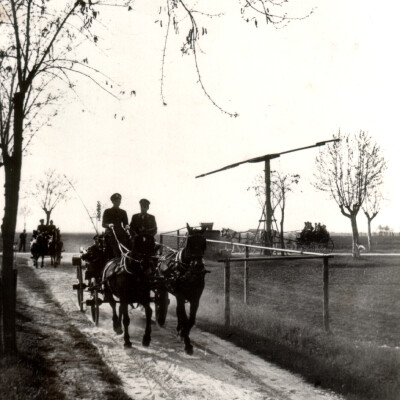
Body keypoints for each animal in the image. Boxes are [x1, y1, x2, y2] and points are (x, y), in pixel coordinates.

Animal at [159, 223, 209, 354]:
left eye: (204, 243)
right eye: (189, 243)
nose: (198, 265)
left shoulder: (196, 298)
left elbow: (191, 320)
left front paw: (183, 334)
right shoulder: (180, 295)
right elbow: (184, 317)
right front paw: (187, 343)